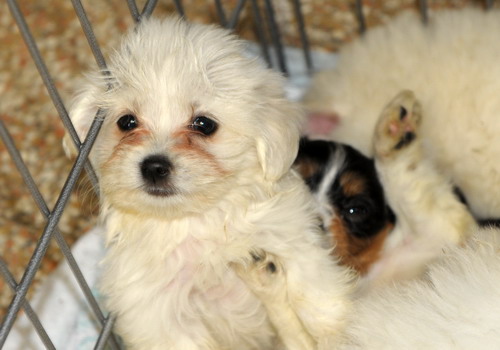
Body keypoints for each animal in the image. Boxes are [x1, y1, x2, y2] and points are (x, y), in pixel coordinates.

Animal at [67, 17, 356, 350]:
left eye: (204, 124)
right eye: (126, 122)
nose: (154, 166)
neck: (196, 224)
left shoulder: (294, 240)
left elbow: (317, 298)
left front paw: (340, 334)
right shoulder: (156, 314)